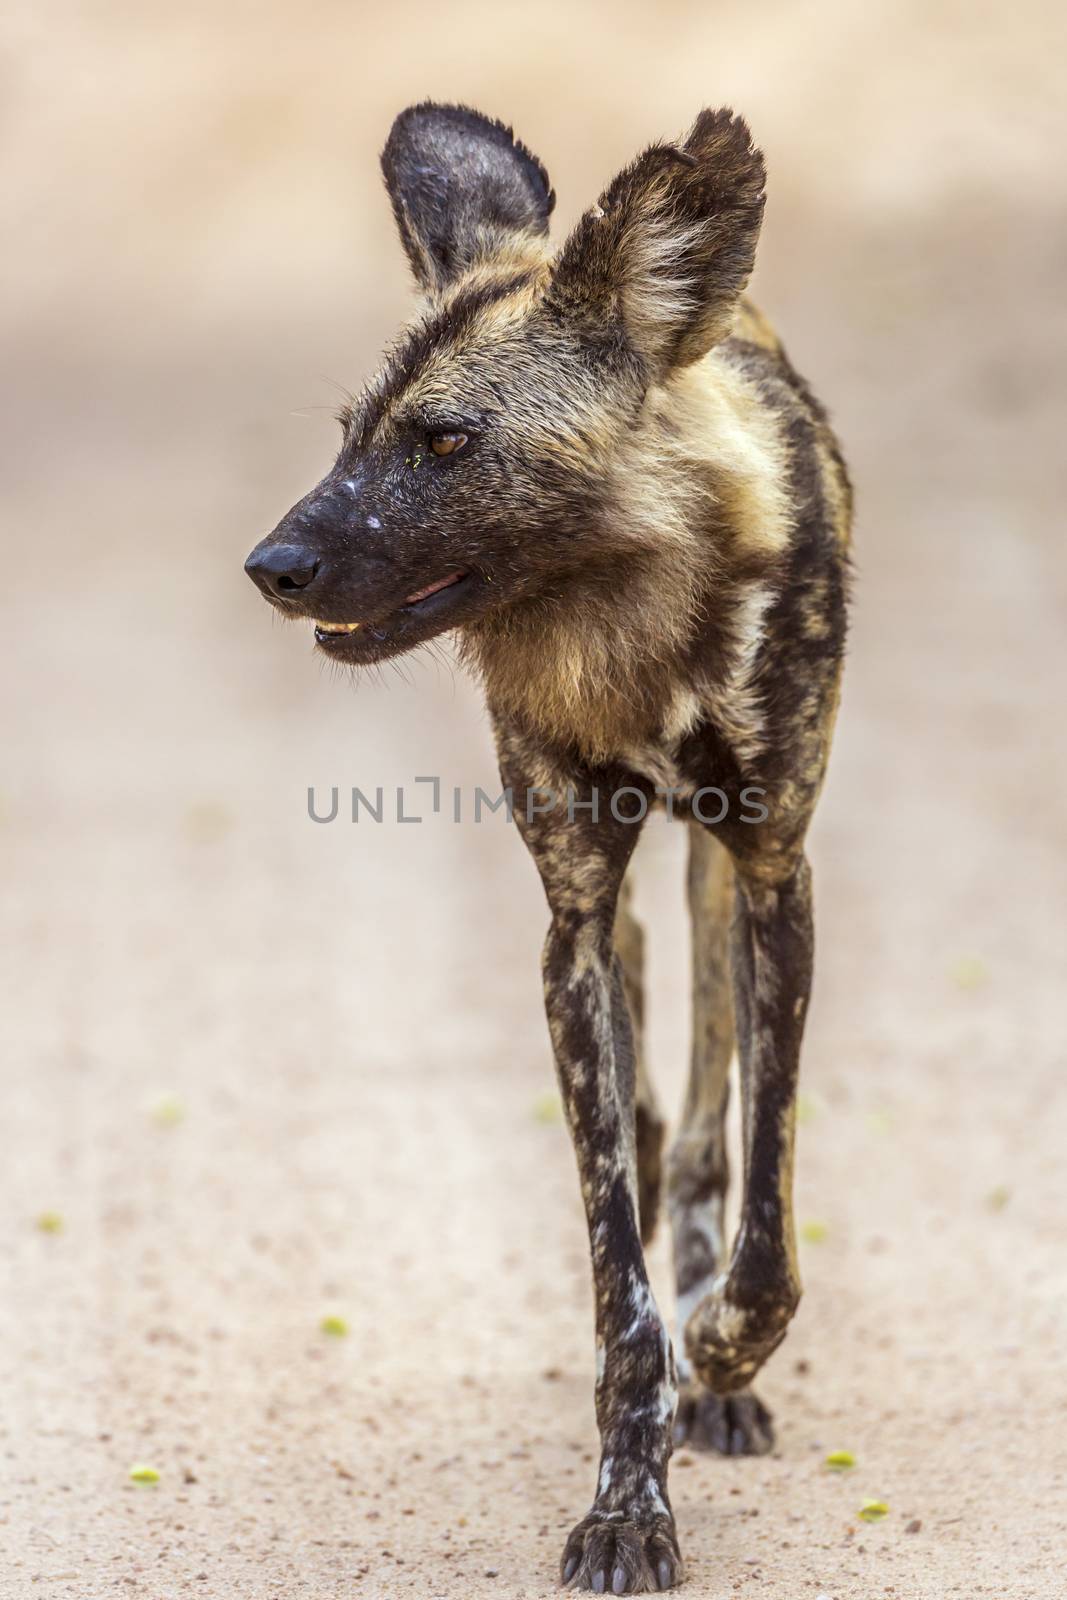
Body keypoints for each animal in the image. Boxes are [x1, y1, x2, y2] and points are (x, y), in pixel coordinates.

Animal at [244, 106, 851, 1593]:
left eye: (446, 441)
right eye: (349, 435)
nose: (270, 566)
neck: (634, 621)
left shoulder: (774, 878)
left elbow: (761, 1225)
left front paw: (722, 1350)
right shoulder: (568, 923)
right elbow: (613, 1285)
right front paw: (629, 1498)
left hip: (714, 886)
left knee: (704, 1130)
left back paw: (719, 1370)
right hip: (617, 914)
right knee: (648, 1120)